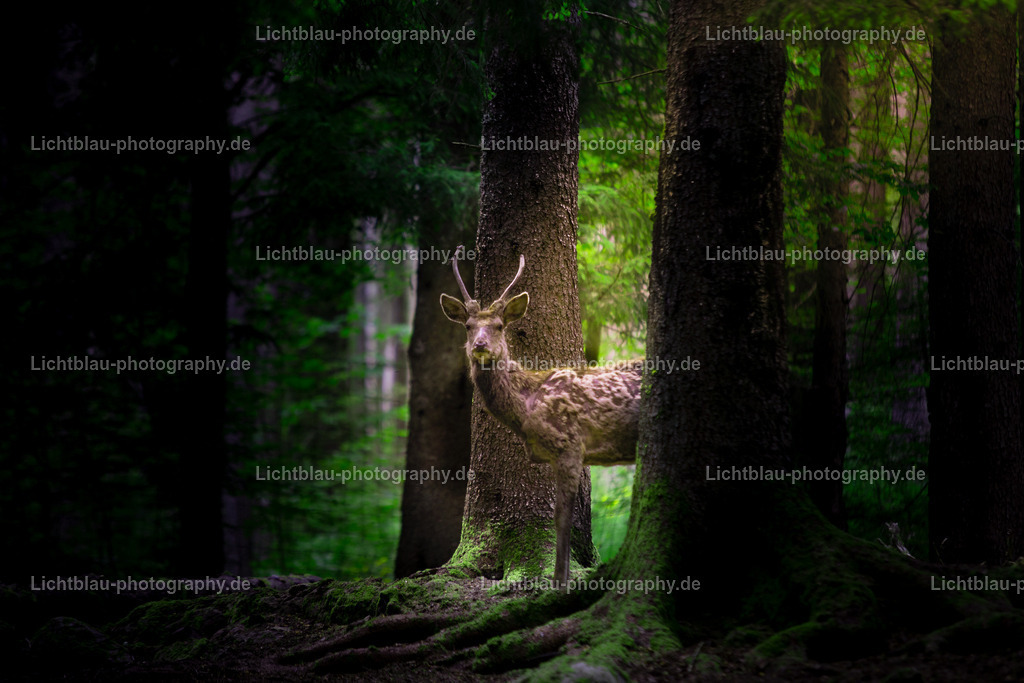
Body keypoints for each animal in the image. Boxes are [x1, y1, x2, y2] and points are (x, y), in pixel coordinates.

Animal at [440, 250, 641, 586]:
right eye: (468, 325)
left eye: (498, 326)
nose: (480, 346)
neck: (526, 407)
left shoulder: (570, 446)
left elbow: (562, 519)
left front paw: (559, 582)